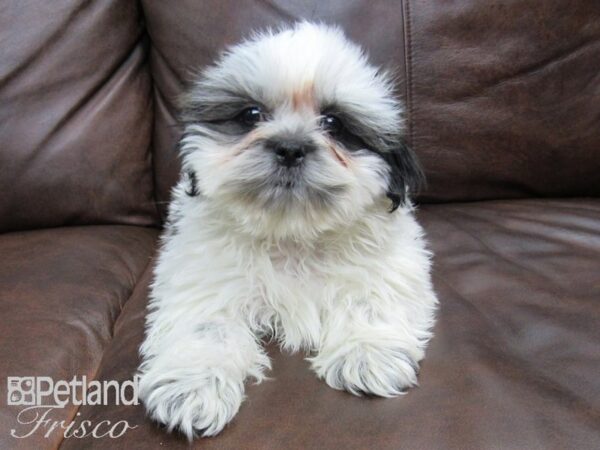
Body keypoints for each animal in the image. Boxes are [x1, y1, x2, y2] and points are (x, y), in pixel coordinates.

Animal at [141, 22, 440, 440]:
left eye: (333, 123)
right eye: (251, 115)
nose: (289, 147)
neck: (292, 230)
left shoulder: (391, 263)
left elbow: (370, 297)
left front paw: (367, 353)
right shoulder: (204, 274)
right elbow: (206, 324)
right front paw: (193, 385)